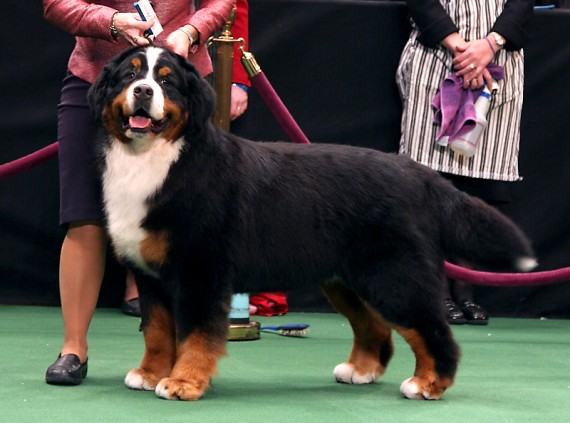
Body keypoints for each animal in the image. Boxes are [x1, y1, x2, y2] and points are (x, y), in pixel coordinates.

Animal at [87, 46, 532, 400]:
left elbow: (195, 334)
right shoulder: (152, 276)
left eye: (167, 81)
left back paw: (428, 384)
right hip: (346, 279)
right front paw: (148, 374)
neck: (158, 160)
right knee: (375, 328)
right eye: (129, 76)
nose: (144, 92)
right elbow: (158, 332)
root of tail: (419, 173)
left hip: (394, 274)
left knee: (432, 329)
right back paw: (360, 370)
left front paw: (184, 383)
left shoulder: (201, 270)